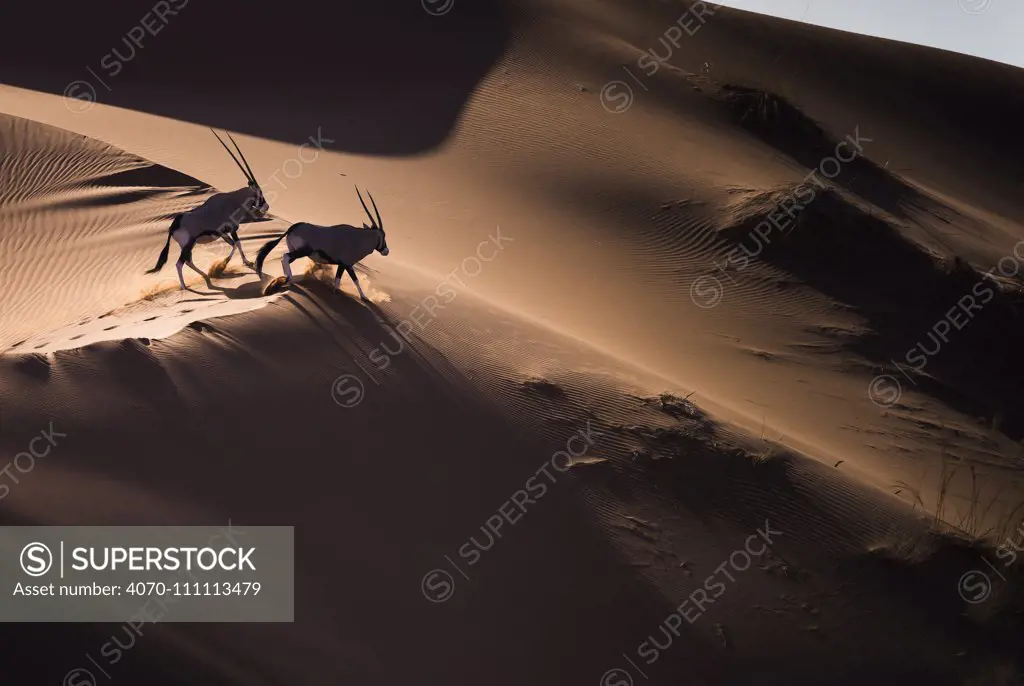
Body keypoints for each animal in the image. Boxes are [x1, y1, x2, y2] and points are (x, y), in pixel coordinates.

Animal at [148, 129, 270, 290]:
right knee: (180, 263)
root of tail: (173, 226)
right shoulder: (228, 230)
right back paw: (184, 286)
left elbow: (236, 244)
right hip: (188, 244)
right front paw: (224, 265)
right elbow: (236, 244)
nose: (266, 207)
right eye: (259, 194)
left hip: (189, 246)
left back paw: (205, 275)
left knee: (188, 261)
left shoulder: (225, 233)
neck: (233, 201)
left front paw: (243, 263)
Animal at [254, 185, 387, 301]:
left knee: (284, 259)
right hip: (302, 251)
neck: (359, 238)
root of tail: (294, 227)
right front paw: (363, 297)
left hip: (295, 251)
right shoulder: (346, 264)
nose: (386, 251)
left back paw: (284, 279)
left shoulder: (342, 265)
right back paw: (289, 280)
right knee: (285, 257)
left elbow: (338, 280)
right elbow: (353, 280)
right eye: (383, 236)